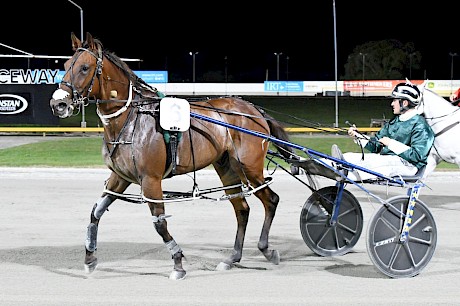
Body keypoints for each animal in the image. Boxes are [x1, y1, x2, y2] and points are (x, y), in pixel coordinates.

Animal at [49, 32, 294, 280]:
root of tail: (254, 110)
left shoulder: (151, 180)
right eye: (66, 66)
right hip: (227, 167)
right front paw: (90, 258)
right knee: (242, 209)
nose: (58, 103)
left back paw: (266, 250)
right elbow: (95, 212)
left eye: (84, 67)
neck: (132, 118)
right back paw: (232, 258)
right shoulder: (121, 177)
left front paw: (178, 263)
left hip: (249, 168)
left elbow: (159, 224)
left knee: (271, 200)